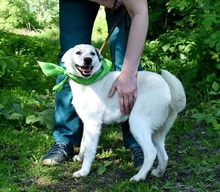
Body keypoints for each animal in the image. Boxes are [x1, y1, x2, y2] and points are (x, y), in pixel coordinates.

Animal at [61, 43, 186, 182]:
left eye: (92, 53)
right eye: (78, 52)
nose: (88, 60)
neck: (88, 82)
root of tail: (167, 90)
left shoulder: (93, 124)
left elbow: (90, 151)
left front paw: (84, 171)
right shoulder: (87, 123)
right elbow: (83, 142)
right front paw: (80, 157)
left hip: (137, 124)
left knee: (151, 152)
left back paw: (139, 177)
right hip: (157, 133)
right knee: (164, 155)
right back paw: (158, 172)